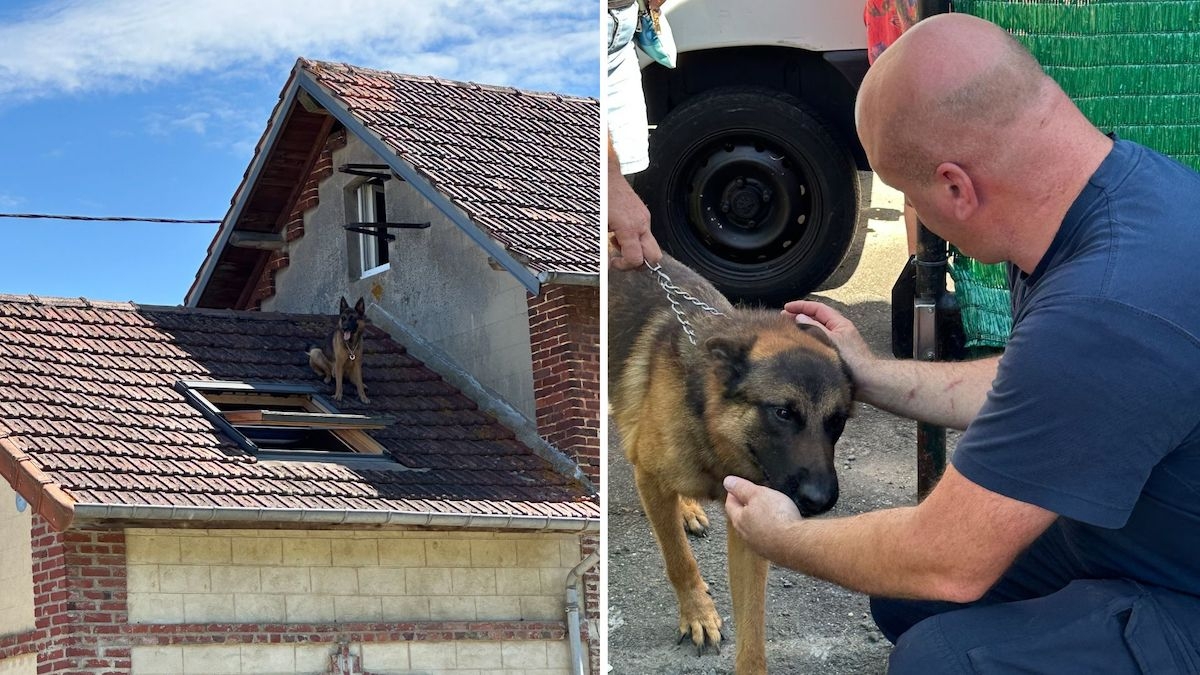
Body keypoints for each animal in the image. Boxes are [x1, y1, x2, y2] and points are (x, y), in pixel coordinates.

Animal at [609, 252, 854, 672]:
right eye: (783, 413)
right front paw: (698, 614)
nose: (822, 501)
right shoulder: (651, 479)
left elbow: (753, 624)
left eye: (836, 421)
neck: (714, 434)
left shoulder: (749, 521)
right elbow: (678, 558)